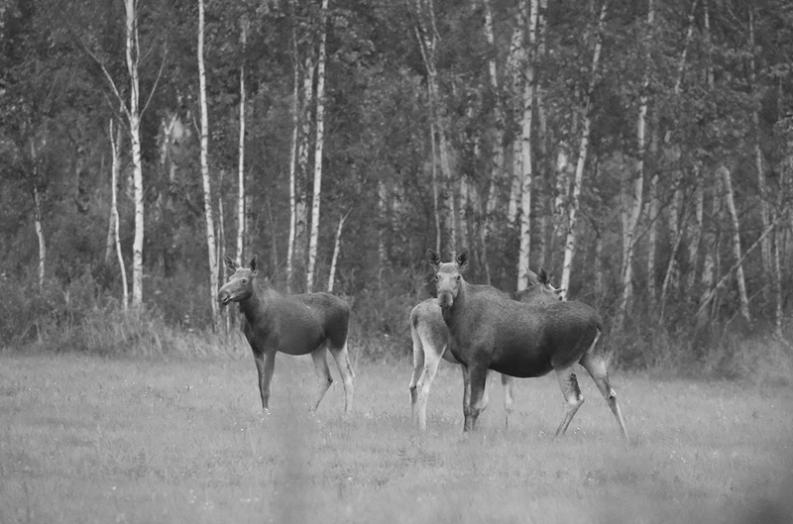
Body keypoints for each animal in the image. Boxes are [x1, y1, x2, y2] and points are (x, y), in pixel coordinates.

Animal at [217, 256, 352, 414]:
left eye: (244, 280)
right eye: (230, 277)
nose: (222, 294)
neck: (253, 315)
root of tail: (347, 307)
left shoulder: (271, 347)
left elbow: (266, 385)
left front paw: (267, 413)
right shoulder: (256, 349)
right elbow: (260, 385)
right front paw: (263, 412)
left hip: (338, 341)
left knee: (348, 376)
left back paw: (346, 413)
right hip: (318, 347)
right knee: (326, 378)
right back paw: (311, 411)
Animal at [412, 268, 560, 432]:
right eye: (559, 295)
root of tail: (414, 314)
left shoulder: (483, 365)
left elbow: (475, 402)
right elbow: (503, 402)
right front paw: (504, 429)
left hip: (418, 350)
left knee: (412, 385)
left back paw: (411, 421)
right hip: (434, 349)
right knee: (423, 386)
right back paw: (422, 426)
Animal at [430, 250, 628, 438]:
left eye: (457, 277)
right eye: (437, 276)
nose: (445, 298)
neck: (457, 320)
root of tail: (598, 321)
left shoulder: (480, 361)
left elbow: (475, 406)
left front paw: (469, 437)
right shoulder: (465, 364)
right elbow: (465, 406)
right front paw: (466, 433)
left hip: (563, 361)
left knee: (575, 398)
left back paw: (556, 436)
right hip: (591, 356)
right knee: (610, 394)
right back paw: (625, 436)